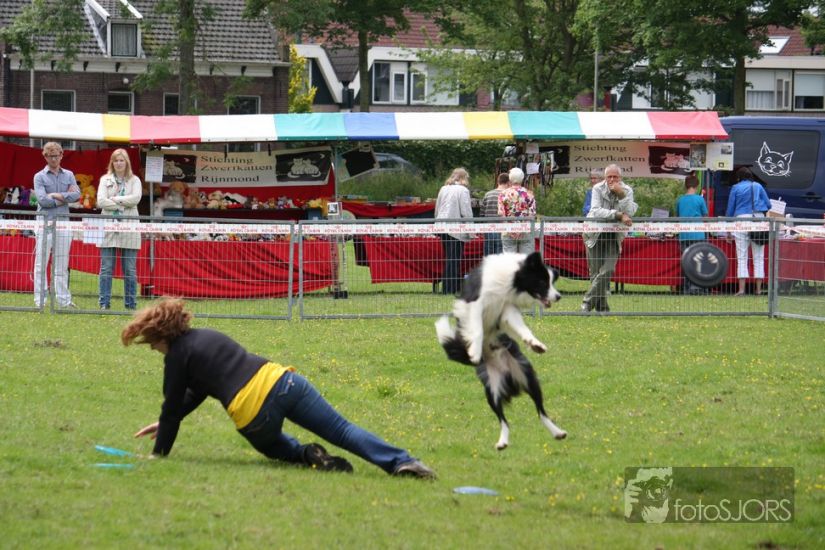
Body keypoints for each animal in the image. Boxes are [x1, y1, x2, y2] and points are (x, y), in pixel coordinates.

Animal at [435, 251, 567, 450]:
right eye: (542, 282)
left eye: (552, 282)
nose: (558, 296)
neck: (508, 281)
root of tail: (509, 379)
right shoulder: (475, 302)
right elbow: (477, 329)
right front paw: (474, 352)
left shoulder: (507, 309)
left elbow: (522, 328)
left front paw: (535, 344)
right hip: (491, 389)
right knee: (503, 420)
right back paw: (502, 442)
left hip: (528, 377)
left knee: (541, 412)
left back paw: (557, 432)